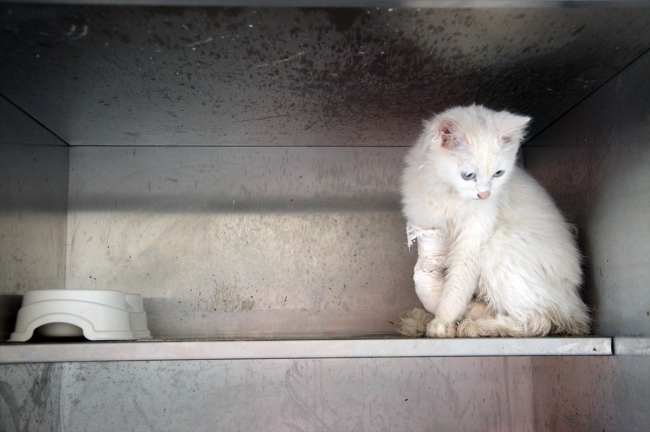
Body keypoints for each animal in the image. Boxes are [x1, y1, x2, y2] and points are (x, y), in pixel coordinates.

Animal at [400, 104, 588, 338]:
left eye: (498, 173)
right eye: (468, 175)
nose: (485, 195)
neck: (448, 193)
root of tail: (575, 303)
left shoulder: (472, 241)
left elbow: (456, 287)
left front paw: (442, 323)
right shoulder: (428, 228)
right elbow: (428, 277)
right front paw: (436, 319)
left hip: (499, 247)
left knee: (537, 321)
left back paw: (473, 326)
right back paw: (422, 321)